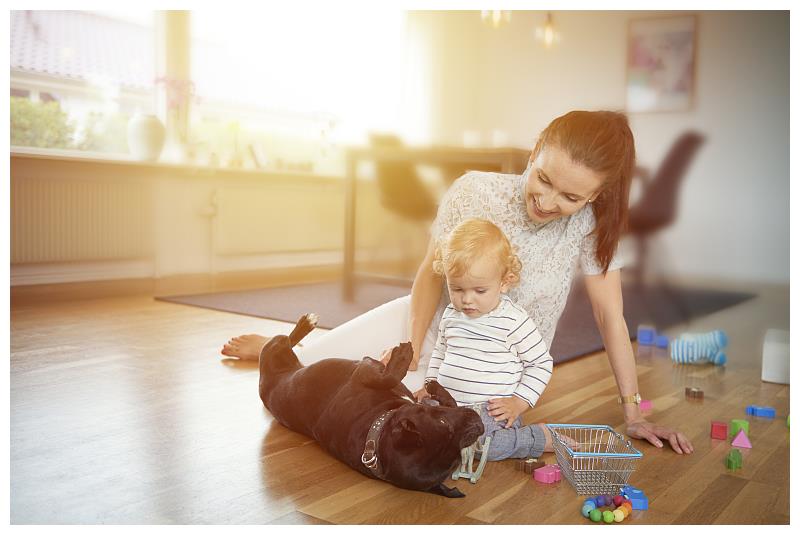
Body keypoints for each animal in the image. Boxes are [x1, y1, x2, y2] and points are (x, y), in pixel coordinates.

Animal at [260, 314, 484, 498]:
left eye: (457, 457)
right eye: (443, 422)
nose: (479, 426)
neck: (377, 429)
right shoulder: (364, 369)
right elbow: (390, 377)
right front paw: (411, 364)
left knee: (287, 341)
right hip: (274, 348)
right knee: (285, 339)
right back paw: (304, 324)